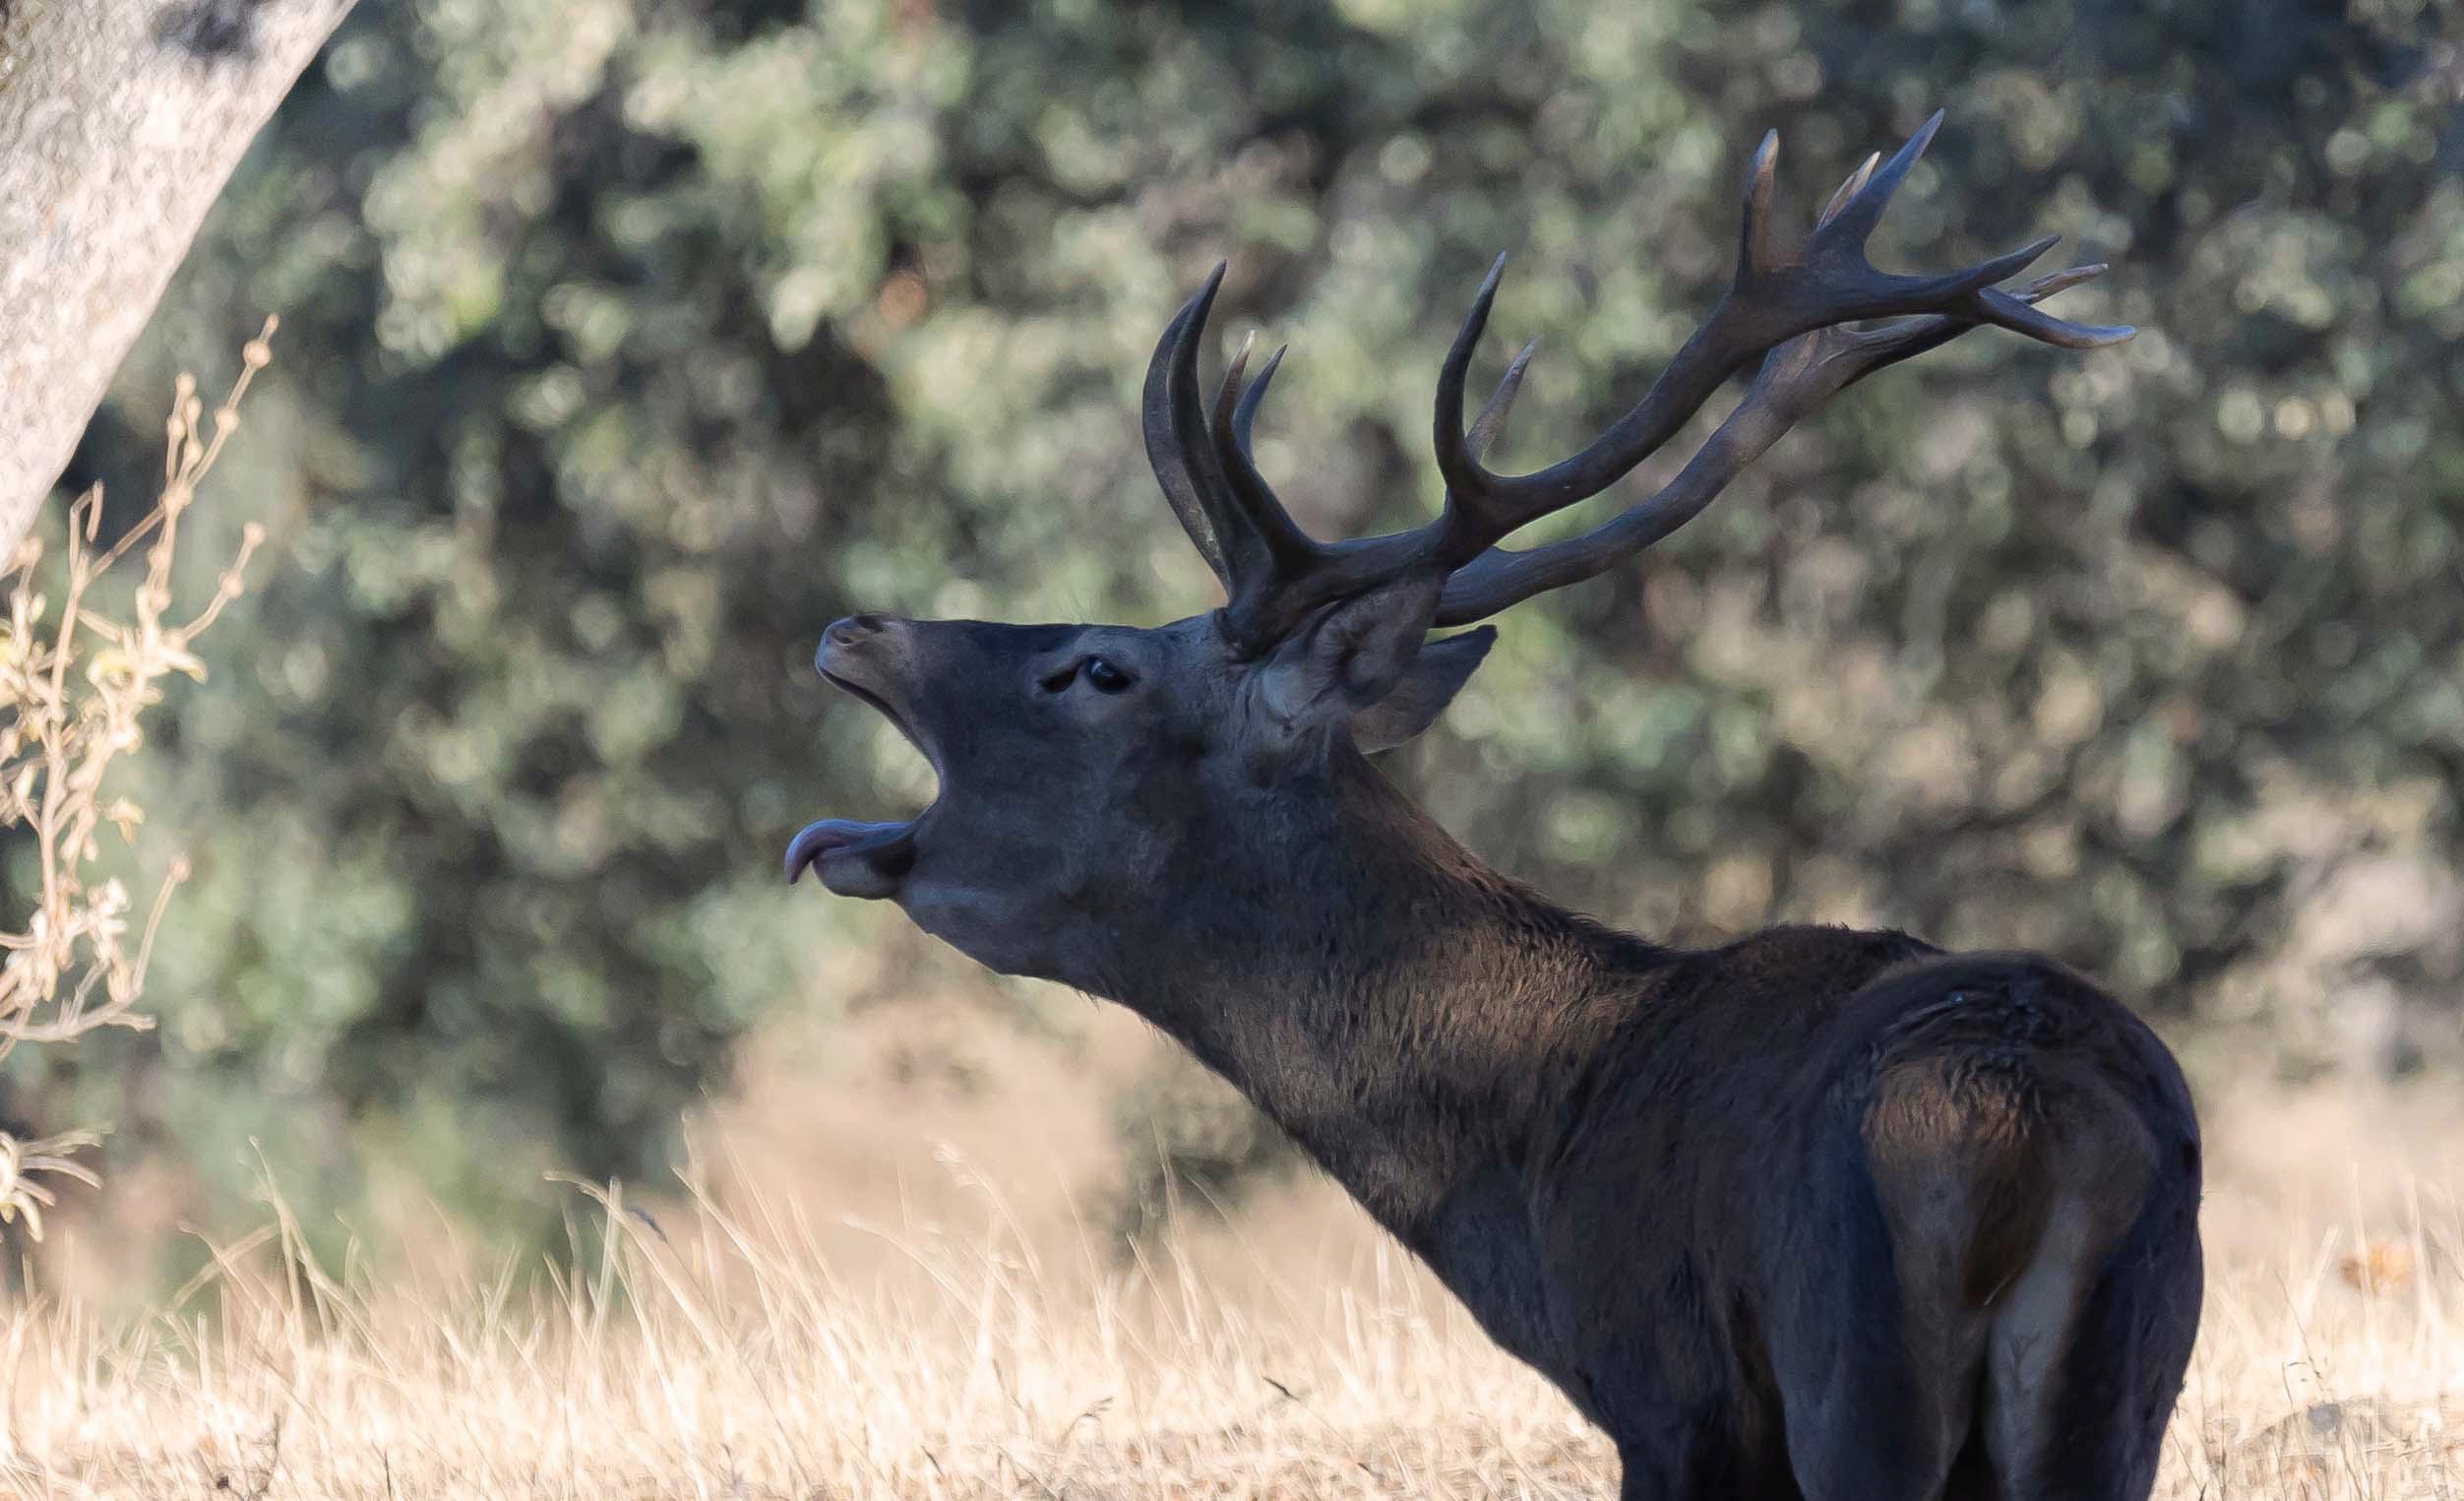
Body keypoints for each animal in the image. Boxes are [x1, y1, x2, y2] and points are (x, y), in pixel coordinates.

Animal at [788, 116, 2197, 1498]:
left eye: (1094, 669)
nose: (854, 627)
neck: (1532, 1179)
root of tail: (2025, 1125)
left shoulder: (1670, 1396)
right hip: (2119, 1381)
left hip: (1852, 1367)